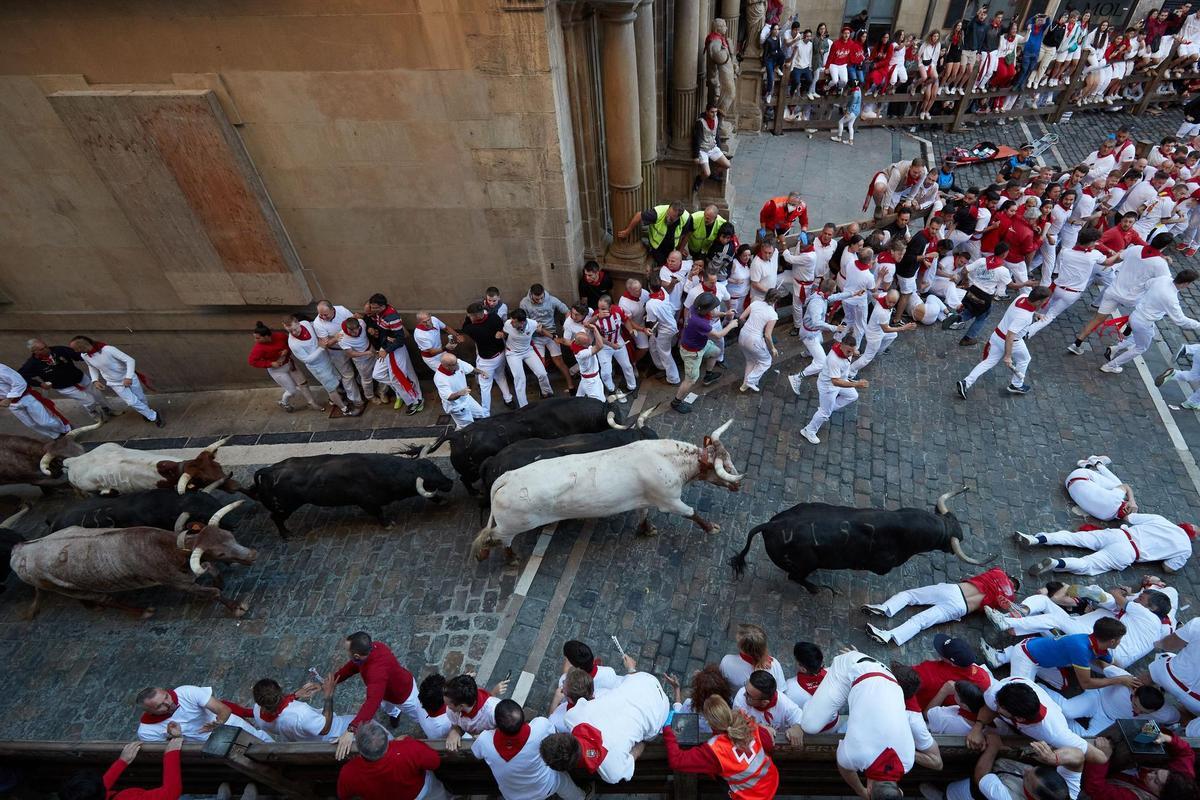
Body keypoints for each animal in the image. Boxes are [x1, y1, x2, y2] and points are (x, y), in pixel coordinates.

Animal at [9, 501, 254, 618]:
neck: (169, 550)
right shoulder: (180, 584)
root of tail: (19, 551)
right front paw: (236, 606)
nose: (253, 555)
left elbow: (210, 568)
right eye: (220, 552)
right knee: (106, 599)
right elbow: (212, 593)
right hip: (69, 588)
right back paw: (139, 611)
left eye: (229, 536)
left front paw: (219, 580)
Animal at [472, 419, 744, 563]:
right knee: (498, 538)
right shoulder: (670, 500)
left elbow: (644, 513)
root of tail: (506, 477)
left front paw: (646, 529)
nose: (738, 484)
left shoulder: (647, 497)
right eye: (723, 466)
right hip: (512, 525)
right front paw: (711, 528)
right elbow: (691, 513)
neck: (667, 460)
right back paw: (507, 557)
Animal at [724, 489, 988, 594]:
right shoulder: (882, 566)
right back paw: (817, 589)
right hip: (805, 562)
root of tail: (770, 525)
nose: (960, 532)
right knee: (794, 576)